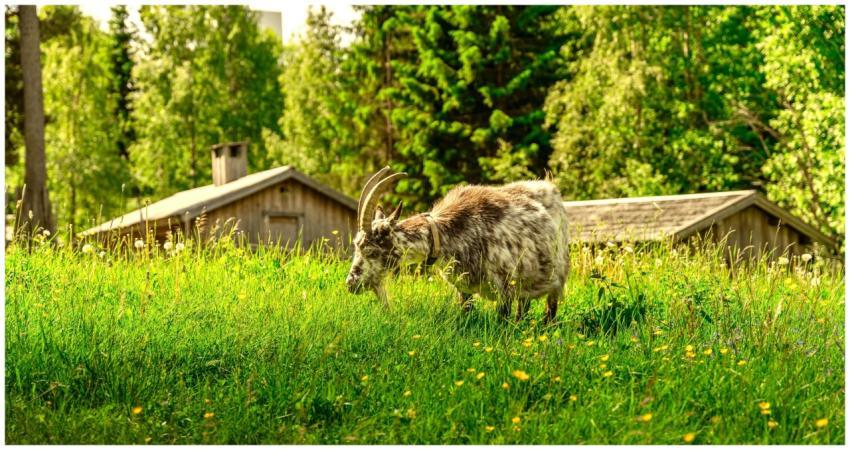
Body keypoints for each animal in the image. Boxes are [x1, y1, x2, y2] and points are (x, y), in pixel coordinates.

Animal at [345, 166, 570, 322]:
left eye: (371, 250)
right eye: (356, 246)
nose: (351, 283)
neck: (449, 232)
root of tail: (550, 185)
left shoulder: (503, 288)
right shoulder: (464, 288)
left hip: (556, 278)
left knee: (550, 311)